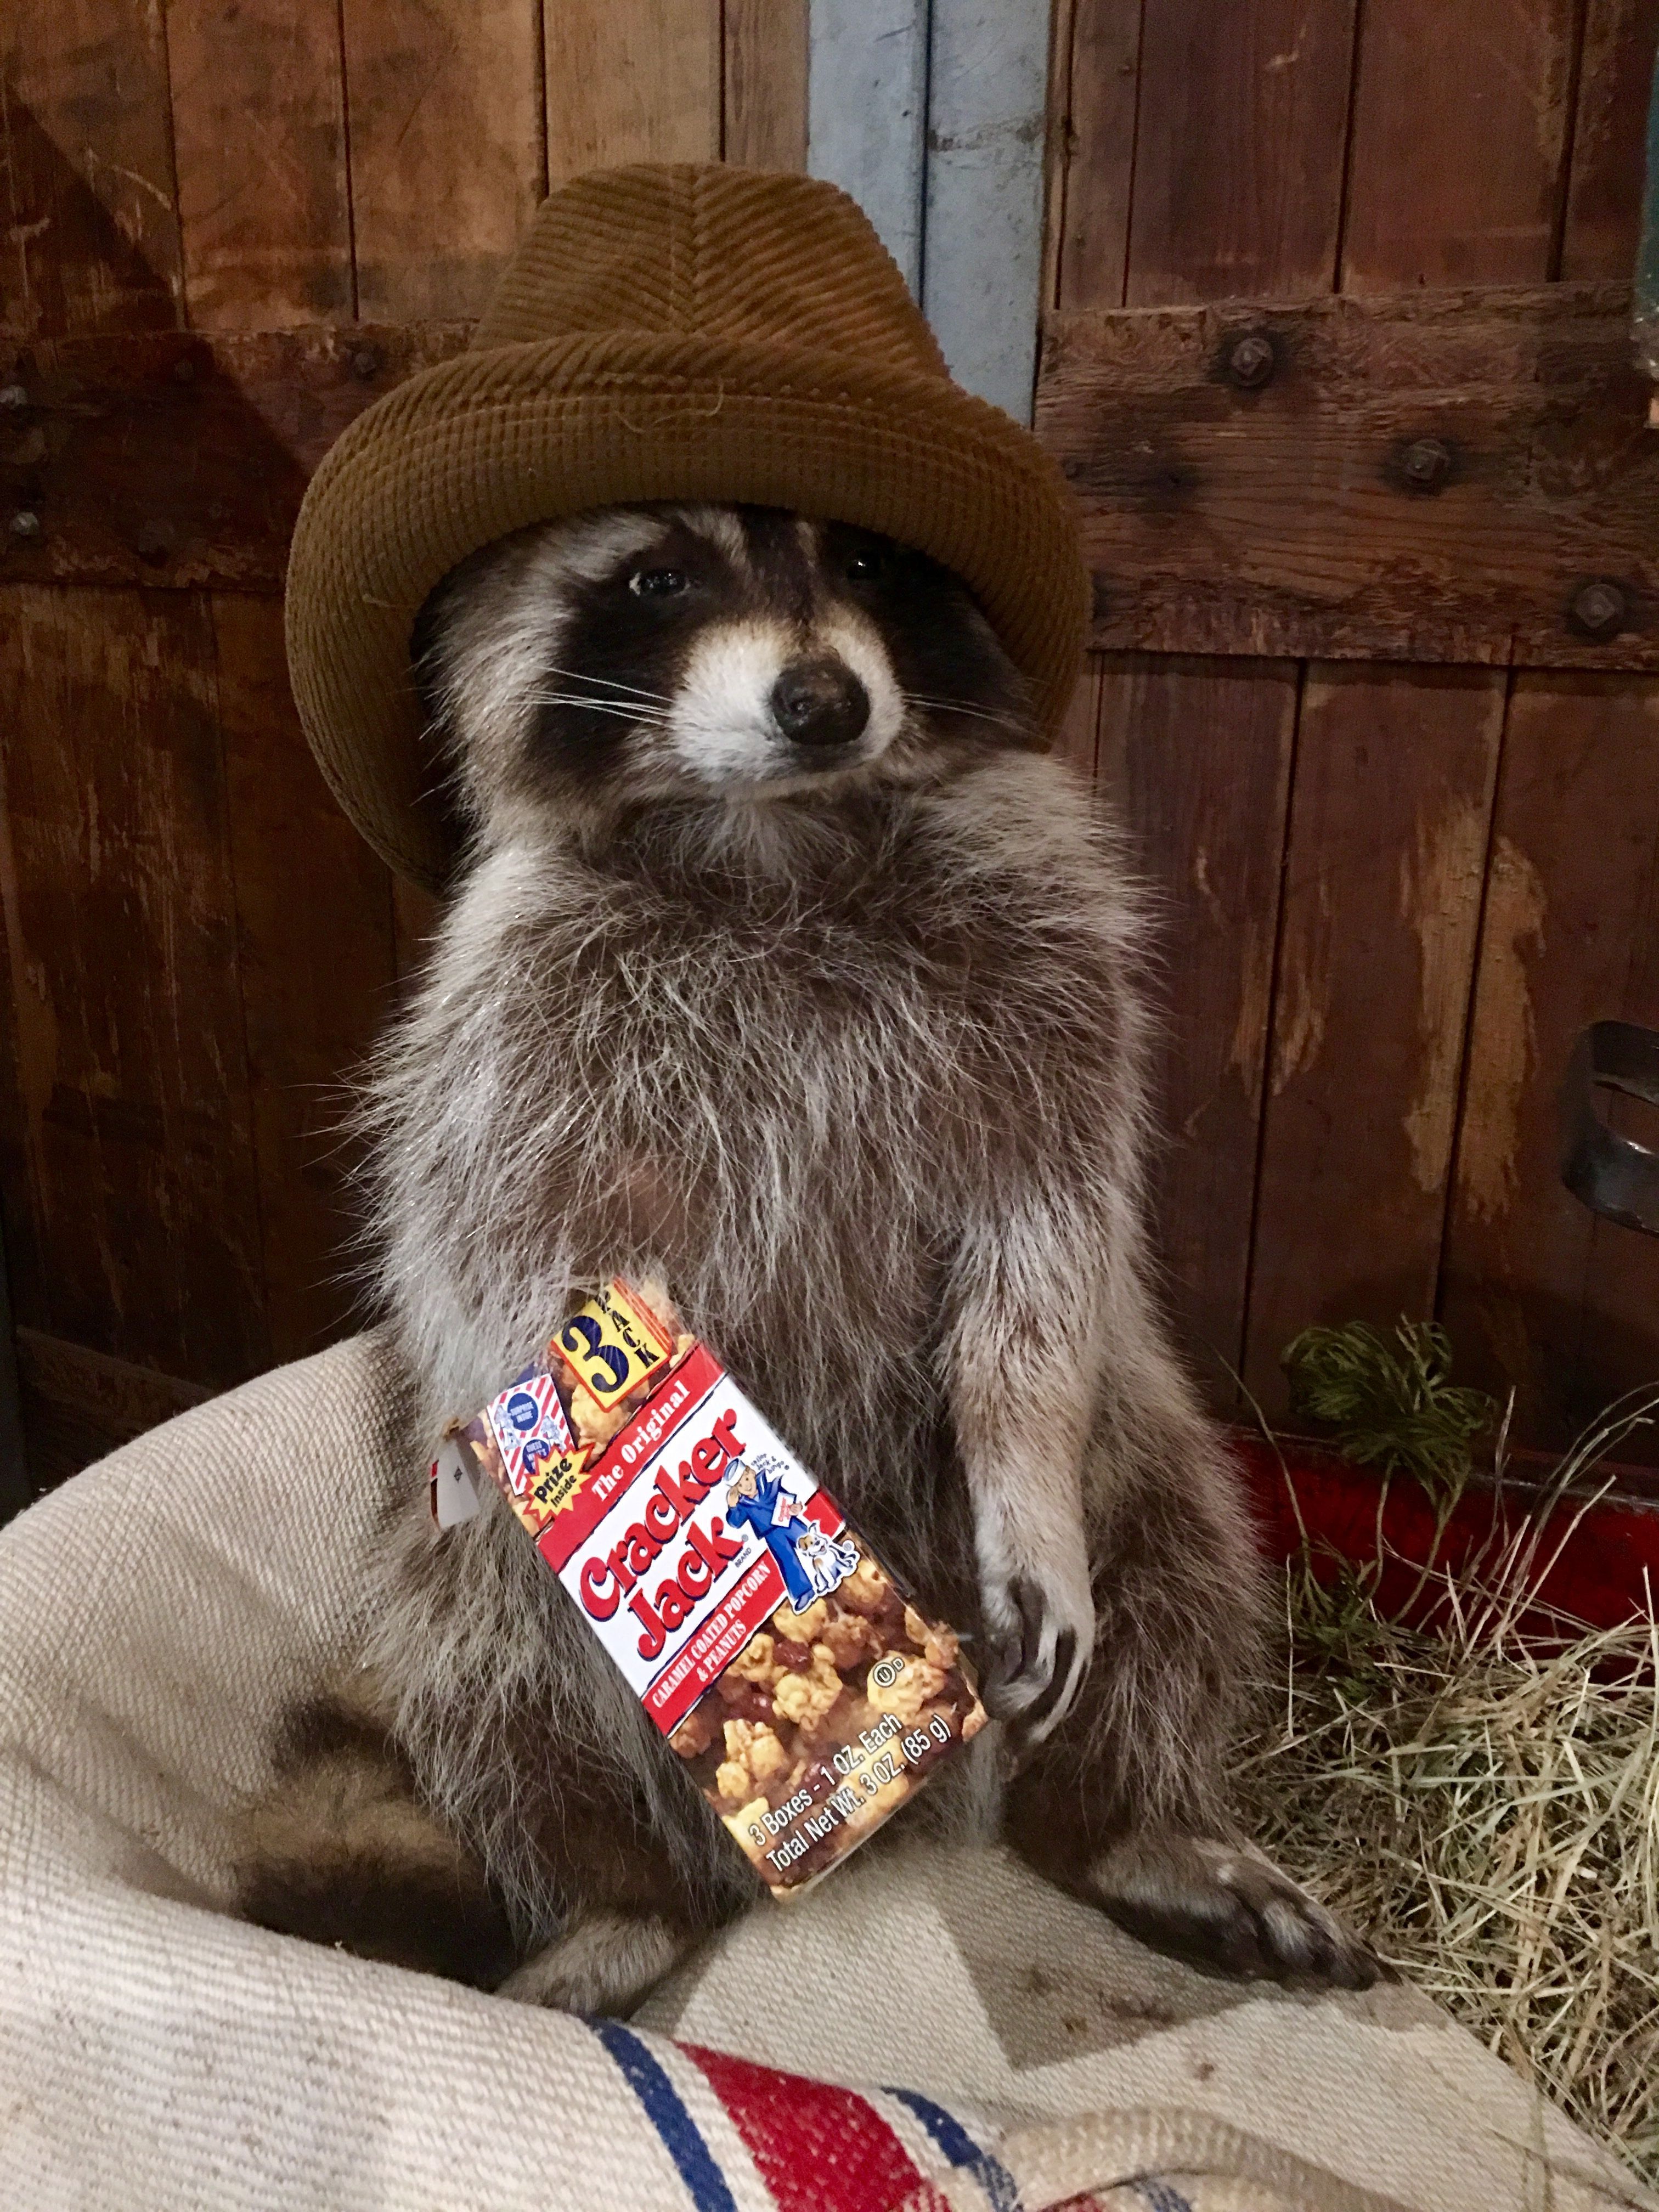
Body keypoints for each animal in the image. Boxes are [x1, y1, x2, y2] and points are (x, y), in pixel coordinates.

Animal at [237, 502, 1377, 2010]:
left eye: (870, 563)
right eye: (660, 575)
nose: (826, 703)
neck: (772, 832)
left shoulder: (1053, 960)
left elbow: (1046, 1247)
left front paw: (1026, 1474)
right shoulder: (508, 1025)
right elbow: (498, 1266)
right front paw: (623, 1430)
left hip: (1136, 1450)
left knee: (1180, 1550)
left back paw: (1129, 1820)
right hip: (458, 1583)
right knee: (485, 1645)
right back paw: (618, 1897)